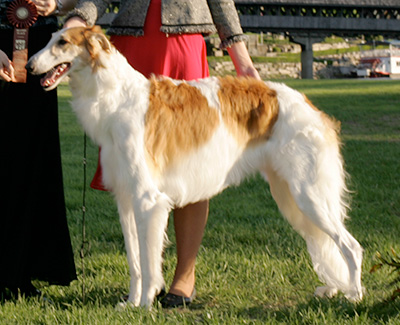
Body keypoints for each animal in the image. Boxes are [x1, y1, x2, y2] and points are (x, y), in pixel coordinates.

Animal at [25, 26, 362, 306]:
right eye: (50, 39)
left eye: (62, 42)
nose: (28, 66)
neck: (116, 99)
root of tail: (308, 105)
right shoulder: (125, 199)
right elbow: (135, 261)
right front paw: (130, 303)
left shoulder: (148, 200)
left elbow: (148, 263)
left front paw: (145, 304)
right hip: (291, 196)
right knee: (327, 243)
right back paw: (335, 289)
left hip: (309, 194)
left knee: (351, 246)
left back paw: (354, 297)